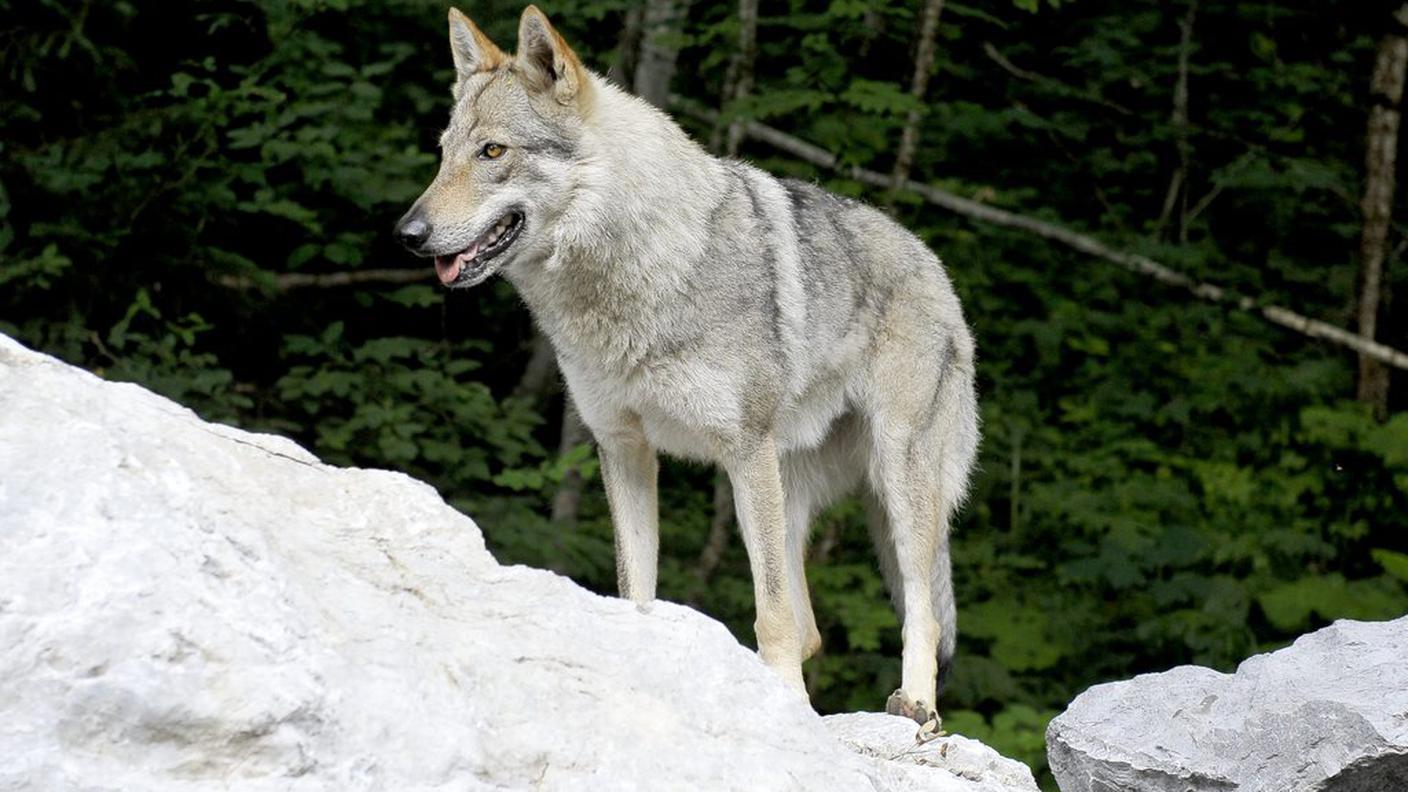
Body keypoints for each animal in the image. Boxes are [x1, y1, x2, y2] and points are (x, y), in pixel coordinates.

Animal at [395, 5, 979, 729]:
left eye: (494, 152)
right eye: (445, 152)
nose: (407, 234)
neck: (639, 278)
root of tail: (934, 264)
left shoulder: (743, 449)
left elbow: (771, 615)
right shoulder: (622, 449)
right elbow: (638, 591)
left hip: (891, 480)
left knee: (918, 612)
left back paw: (914, 706)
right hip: (787, 487)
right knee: (813, 627)